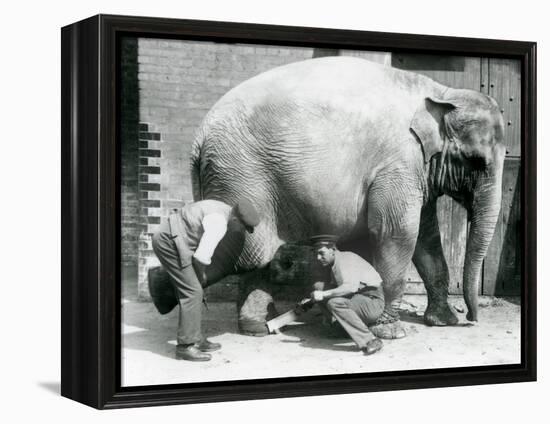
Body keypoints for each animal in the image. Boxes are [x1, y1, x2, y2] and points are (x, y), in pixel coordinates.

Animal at [190, 55, 508, 338]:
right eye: (476, 161)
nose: (471, 318)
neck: (442, 93)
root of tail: (199, 136)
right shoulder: (398, 164)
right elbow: (397, 233)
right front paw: (390, 331)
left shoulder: (416, 169)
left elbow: (426, 238)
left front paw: (443, 322)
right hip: (240, 174)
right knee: (249, 252)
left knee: (258, 255)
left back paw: (259, 326)